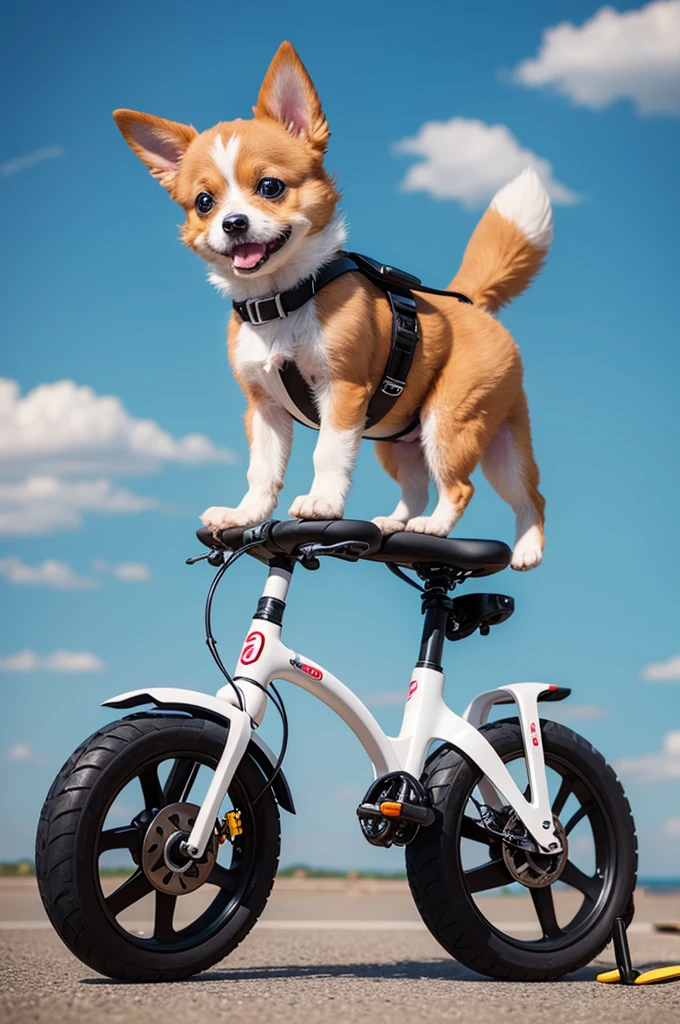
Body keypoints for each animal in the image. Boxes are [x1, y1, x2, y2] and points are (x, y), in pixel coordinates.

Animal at [114, 41, 548, 569]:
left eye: (271, 187)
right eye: (203, 203)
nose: (233, 223)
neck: (281, 300)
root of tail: (472, 305)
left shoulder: (343, 390)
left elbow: (328, 453)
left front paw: (322, 503)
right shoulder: (264, 410)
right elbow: (262, 470)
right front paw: (245, 514)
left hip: (455, 423)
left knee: (481, 489)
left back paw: (471, 535)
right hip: (401, 439)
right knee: (433, 486)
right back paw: (402, 524)